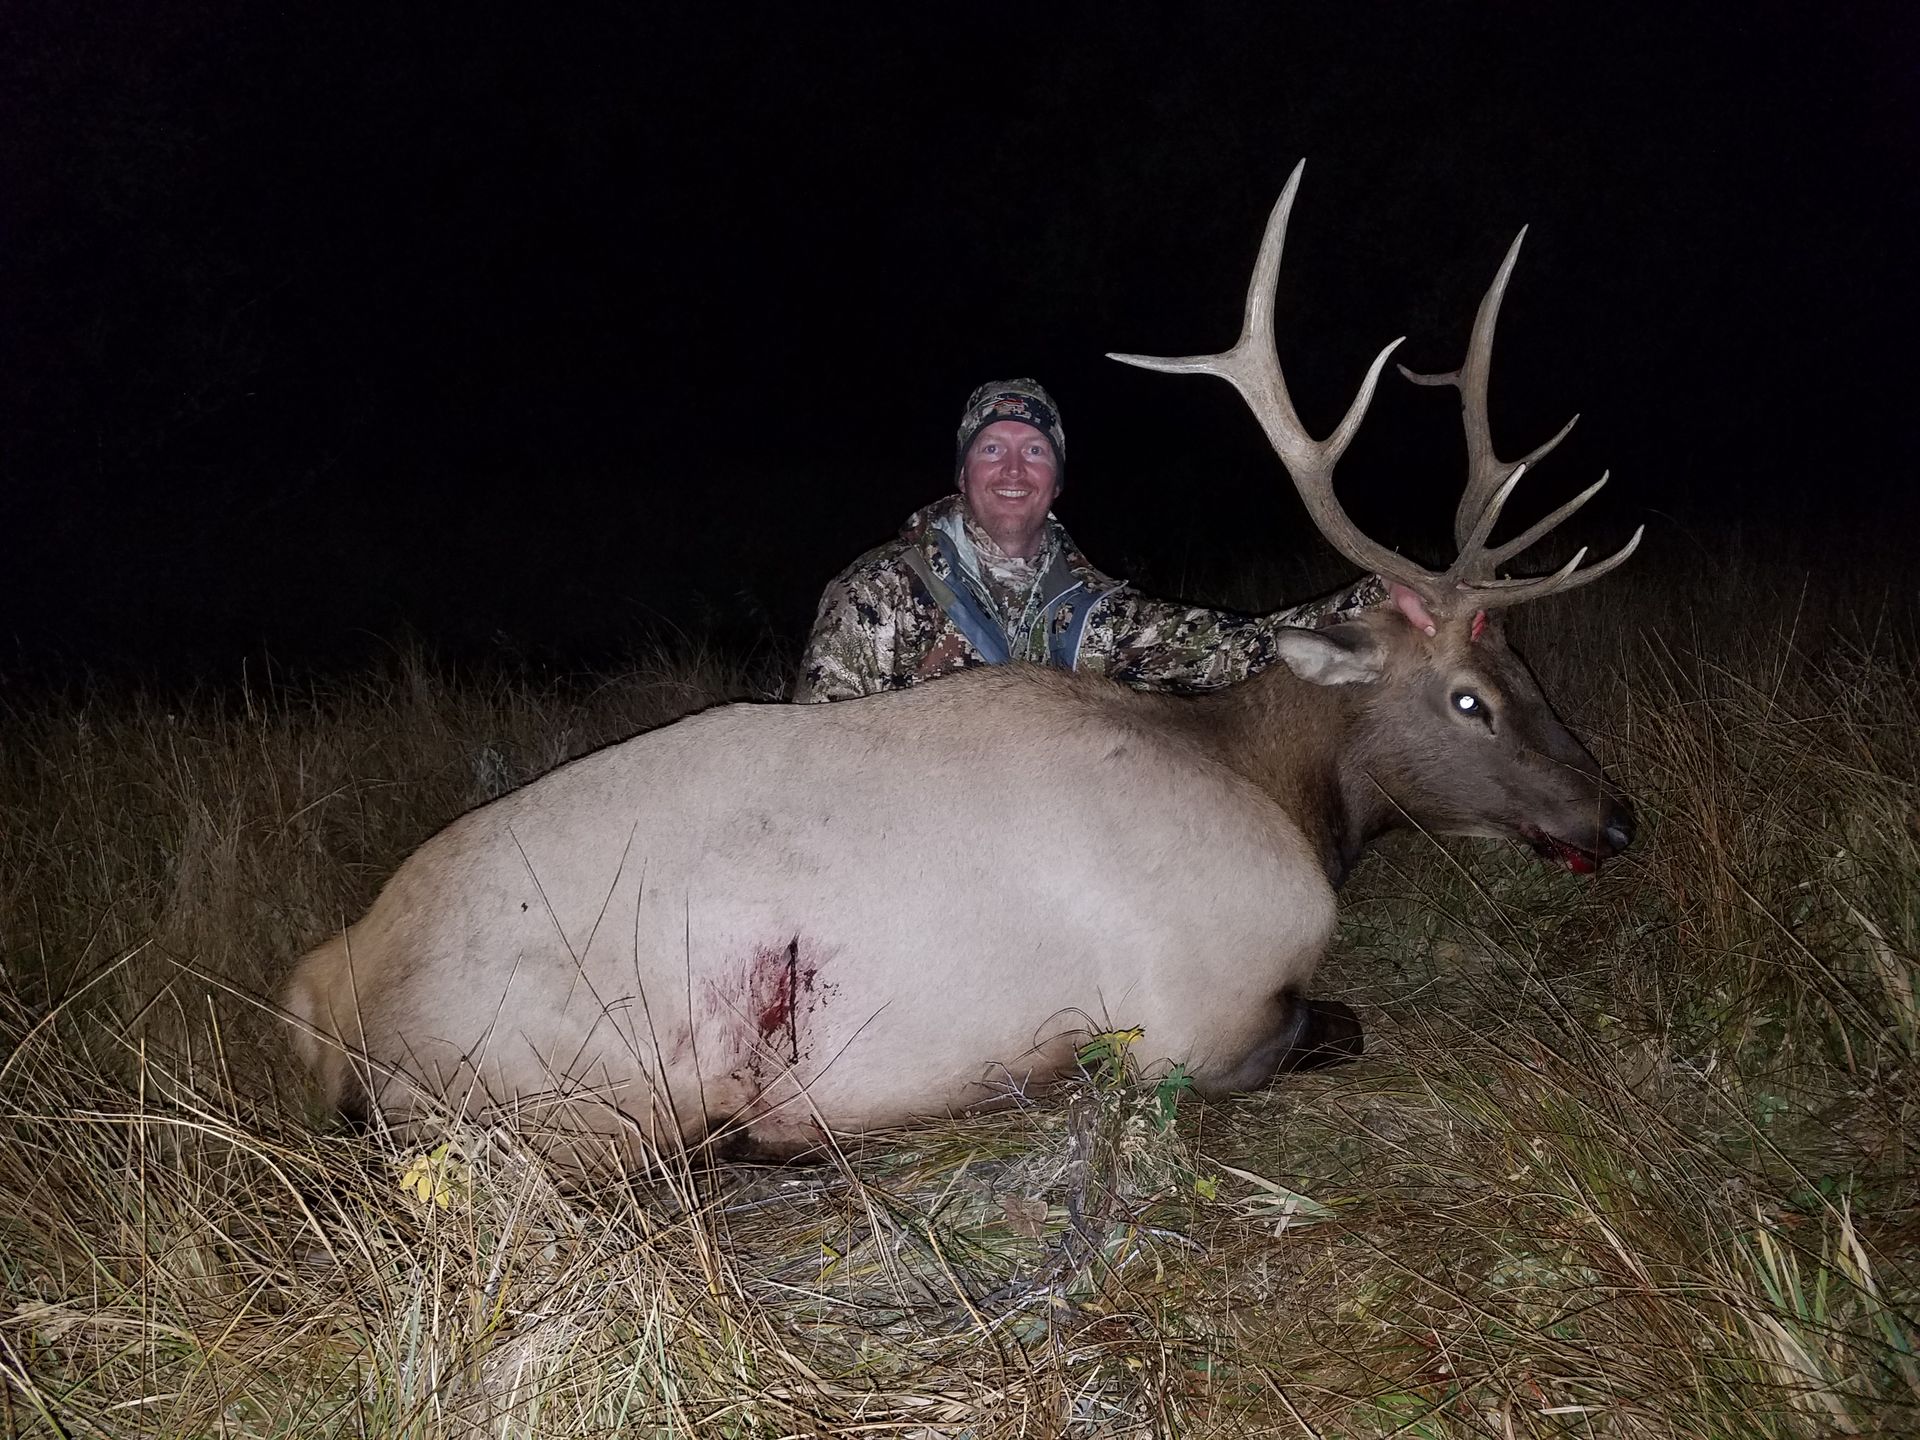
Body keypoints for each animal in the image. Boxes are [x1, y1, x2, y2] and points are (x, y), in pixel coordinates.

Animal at [284, 163, 1640, 1174]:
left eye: (1527, 669)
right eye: (1467, 699)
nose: (1617, 817)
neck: (1273, 792)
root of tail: (325, 990)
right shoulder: (1195, 1017)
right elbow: (1331, 1028)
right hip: (579, 1092)